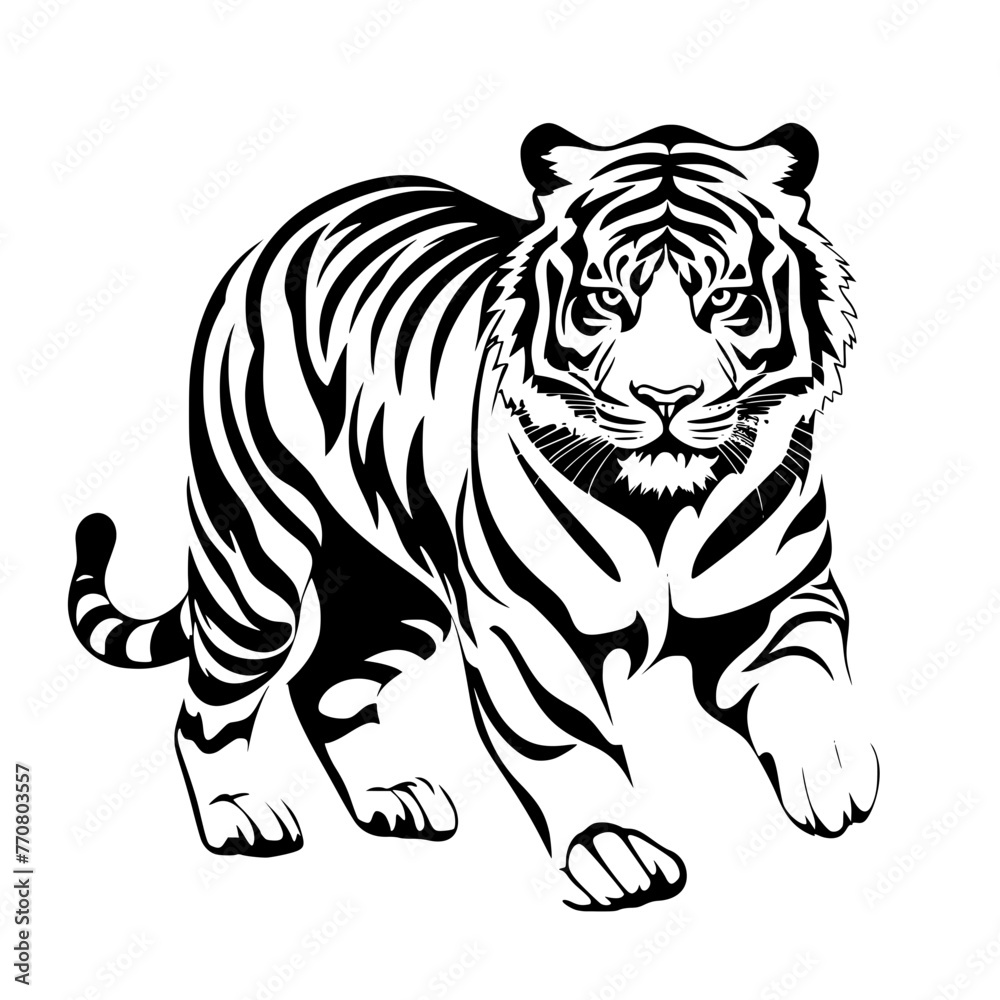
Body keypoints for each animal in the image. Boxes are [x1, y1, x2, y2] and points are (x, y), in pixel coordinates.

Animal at [69, 121, 879, 911]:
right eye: (608, 299)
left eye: (726, 298)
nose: (666, 397)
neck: (663, 505)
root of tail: (286, 230)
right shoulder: (530, 631)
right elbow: (565, 738)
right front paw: (613, 850)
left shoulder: (781, 598)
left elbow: (807, 676)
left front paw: (838, 776)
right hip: (255, 563)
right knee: (208, 708)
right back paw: (238, 814)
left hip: (391, 591)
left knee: (325, 685)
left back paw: (391, 794)